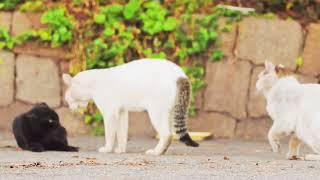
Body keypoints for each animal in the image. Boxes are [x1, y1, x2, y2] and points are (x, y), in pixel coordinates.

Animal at [62, 58, 199, 155]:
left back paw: (157, 152)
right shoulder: (122, 112)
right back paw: (162, 151)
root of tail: (179, 73)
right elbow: (122, 133)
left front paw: (107, 148)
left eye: (68, 99)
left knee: (167, 134)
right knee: (170, 131)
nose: (70, 108)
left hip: (156, 112)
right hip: (169, 112)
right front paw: (121, 150)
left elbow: (110, 133)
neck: (92, 84)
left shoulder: (110, 113)